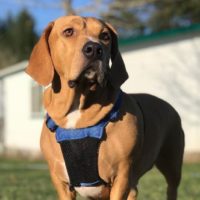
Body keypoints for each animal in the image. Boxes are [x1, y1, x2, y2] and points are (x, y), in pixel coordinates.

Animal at [26, 16, 184, 200]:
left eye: (105, 36)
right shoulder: (61, 182)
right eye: (68, 31)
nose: (94, 49)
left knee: (171, 186)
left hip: (172, 165)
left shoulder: (121, 176)